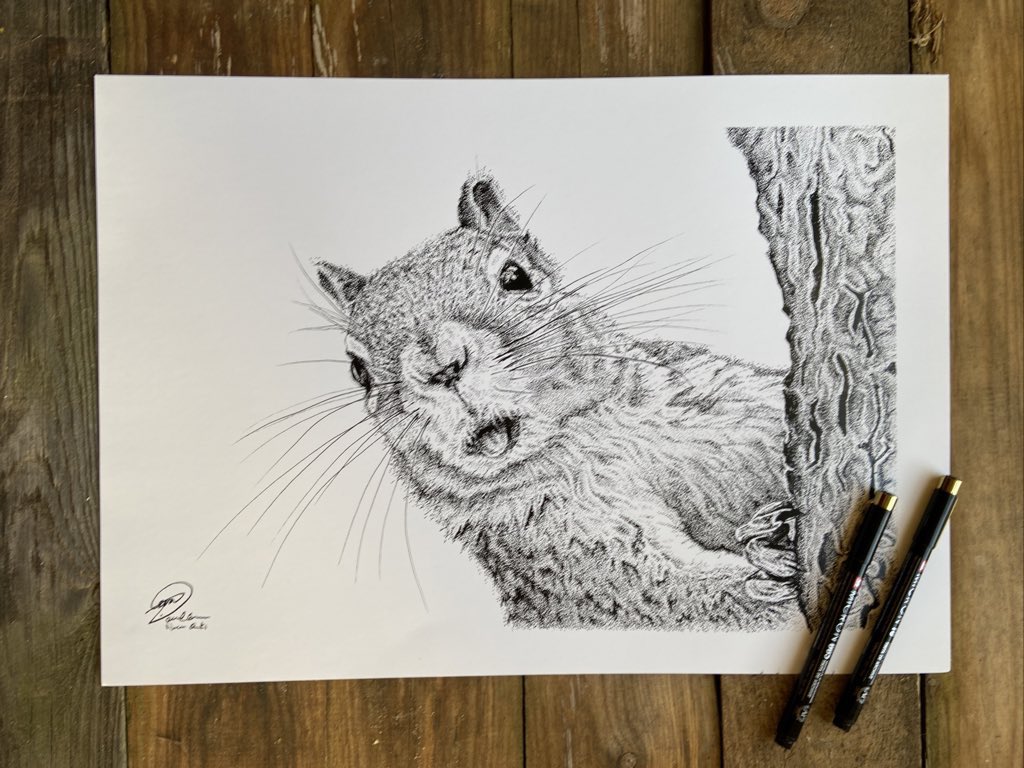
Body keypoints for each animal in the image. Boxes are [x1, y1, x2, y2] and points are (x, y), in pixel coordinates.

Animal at [316, 172, 800, 629]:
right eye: (358, 370)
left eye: (516, 276)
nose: (440, 367)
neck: (589, 433)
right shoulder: (579, 555)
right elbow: (684, 597)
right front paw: (771, 566)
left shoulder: (721, 403)